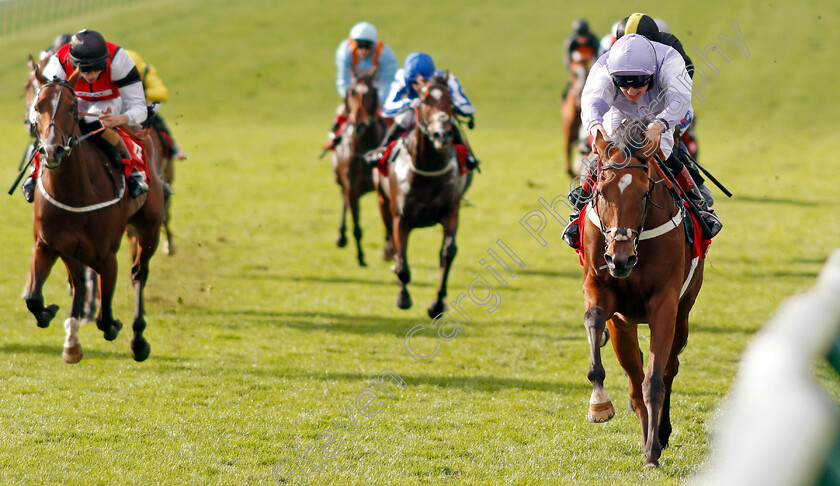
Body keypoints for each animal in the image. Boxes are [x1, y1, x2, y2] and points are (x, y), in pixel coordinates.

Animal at [25, 64, 164, 362]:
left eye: (71, 107)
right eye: (38, 106)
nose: (52, 150)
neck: (75, 193)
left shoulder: (106, 255)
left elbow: (105, 316)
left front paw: (114, 326)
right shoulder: (46, 245)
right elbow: (34, 299)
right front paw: (50, 312)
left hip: (149, 229)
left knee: (139, 273)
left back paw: (138, 340)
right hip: (70, 248)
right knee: (78, 281)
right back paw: (72, 340)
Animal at [334, 69, 388, 266]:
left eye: (372, 92)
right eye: (351, 92)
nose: (360, 124)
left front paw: (388, 250)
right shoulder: (352, 188)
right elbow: (356, 225)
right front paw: (360, 257)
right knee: (343, 200)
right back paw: (341, 236)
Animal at [376, 72, 470, 316]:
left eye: (450, 102)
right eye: (425, 101)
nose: (442, 134)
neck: (428, 167)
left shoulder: (451, 211)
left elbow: (447, 253)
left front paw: (437, 303)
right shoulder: (400, 218)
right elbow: (402, 262)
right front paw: (403, 297)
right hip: (383, 203)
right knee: (394, 246)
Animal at [580, 117, 704, 468]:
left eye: (644, 190)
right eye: (601, 188)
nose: (620, 258)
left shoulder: (665, 304)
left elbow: (655, 379)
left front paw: (652, 450)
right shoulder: (603, 292)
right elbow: (594, 320)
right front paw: (599, 403)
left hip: (683, 315)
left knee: (670, 367)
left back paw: (660, 433)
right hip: (626, 320)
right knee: (635, 375)